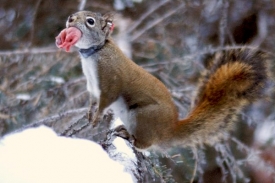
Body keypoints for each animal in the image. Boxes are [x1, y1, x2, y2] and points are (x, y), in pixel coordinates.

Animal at [56, 10, 270, 149]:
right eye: (78, 13)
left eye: (90, 21)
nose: (70, 18)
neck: (94, 53)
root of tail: (169, 129)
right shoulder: (92, 85)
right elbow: (93, 100)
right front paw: (90, 114)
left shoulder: (110, 80)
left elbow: (107, 98)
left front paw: (97, 118)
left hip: (143, 116)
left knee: (145, 144)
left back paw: (129, 136)